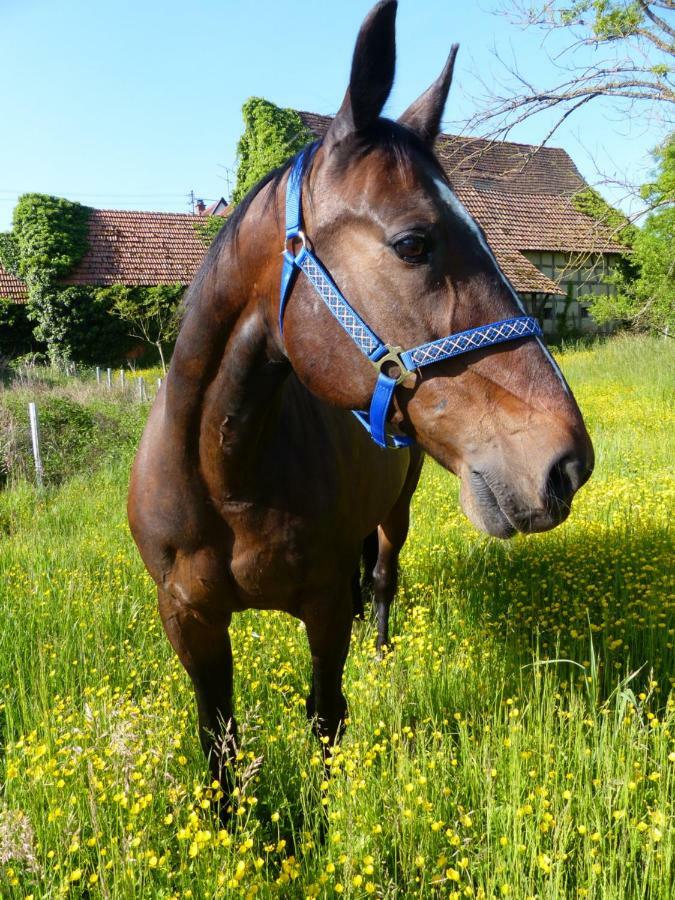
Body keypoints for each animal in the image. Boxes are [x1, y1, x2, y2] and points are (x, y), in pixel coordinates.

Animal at [127, 0, 592, 800]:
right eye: (412, 243)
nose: (565, 463)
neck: (225, 476)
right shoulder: (189, 621)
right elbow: (218, 747)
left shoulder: (320, 609)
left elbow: (326, 715)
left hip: (396, 511)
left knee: (379, 579)